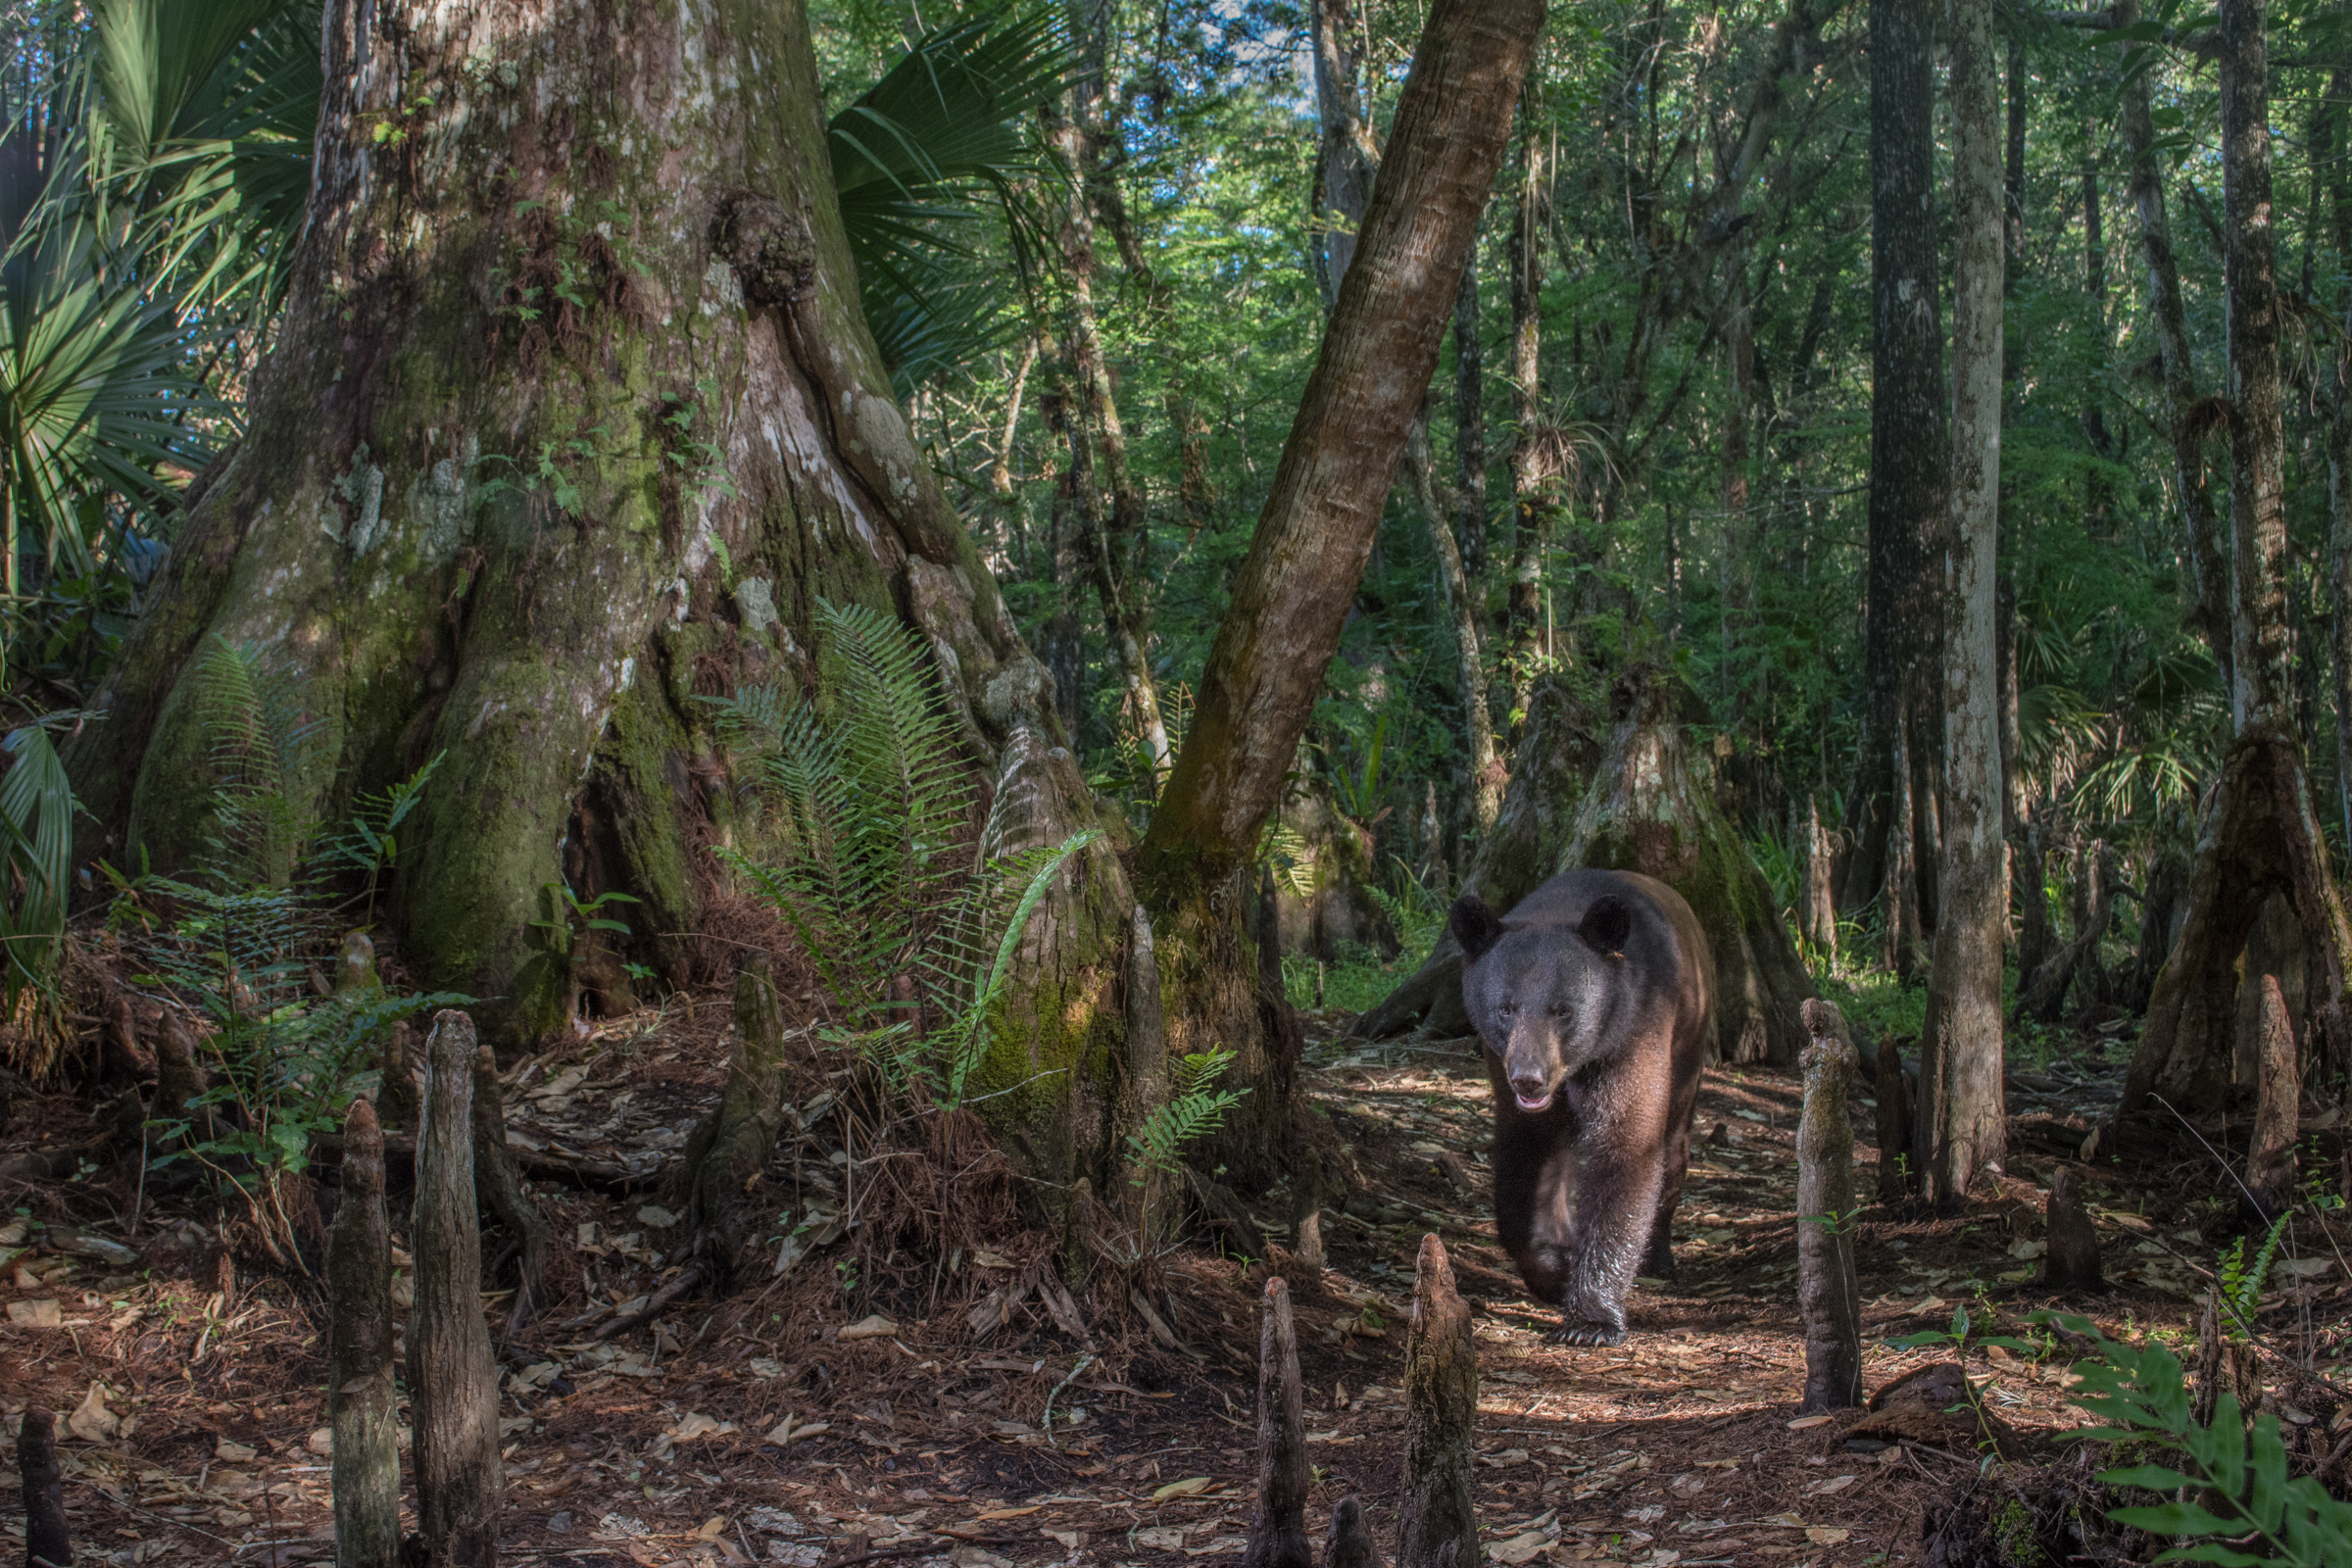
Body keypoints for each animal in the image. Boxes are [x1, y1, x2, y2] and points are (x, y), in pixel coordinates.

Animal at [1450, 868, 1715, 1346]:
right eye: (1505, 1008)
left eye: (1563, 1010)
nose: (1529, 1077)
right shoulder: (1506, 1074)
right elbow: (1527, 1162)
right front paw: (1552, 1268)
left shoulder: (1633, 1037)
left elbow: (1624, 1150)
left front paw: (1592, 1318)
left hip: (1690, 1044)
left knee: (1674, 1149)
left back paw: (1658, 1254)